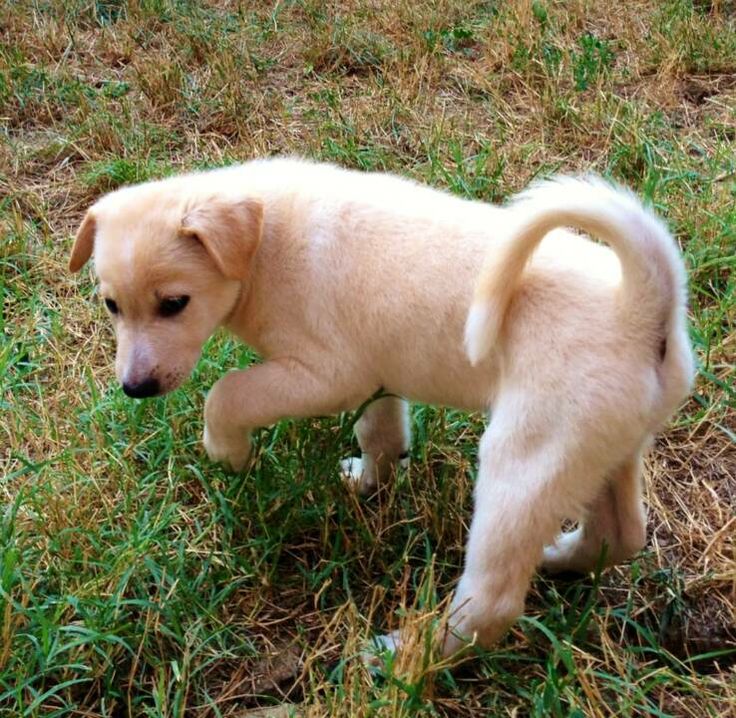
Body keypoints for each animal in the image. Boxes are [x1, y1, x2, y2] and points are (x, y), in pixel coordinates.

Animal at [70, 158, 696, 660]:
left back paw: (404, 657)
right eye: (112, 305)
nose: (135, 388)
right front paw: (369, 481)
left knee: (491, 604)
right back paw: (556, 557)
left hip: (524, 464)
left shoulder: (327, 377)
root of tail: (641, 306)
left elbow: (226, 394)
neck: (266, 235)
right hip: (601, 450)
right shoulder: (378, 379)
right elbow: (383, 435)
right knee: (620, 535)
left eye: (174, 304)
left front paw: (230, 454)